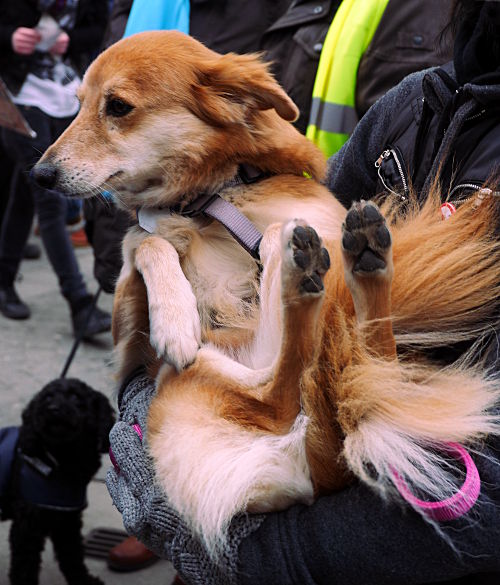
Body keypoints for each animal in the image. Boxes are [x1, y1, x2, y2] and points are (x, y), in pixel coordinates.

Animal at [0, 378, 114, 584]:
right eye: (47, 397)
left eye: (76, 396)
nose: (52, 409)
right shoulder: (27, 525)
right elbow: (24, 565)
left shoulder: (67, 519)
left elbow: (72, 554)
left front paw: (83, 580)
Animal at [34, 30, 500, 552]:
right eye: (78, 104)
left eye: (117, 106)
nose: (39, 175)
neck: (209, 199)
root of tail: (321, 468)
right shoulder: (129, 326)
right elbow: (149, 242)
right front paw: (175, 319)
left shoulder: (317, 226)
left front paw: (178, 317)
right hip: (189, 375)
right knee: (300, 382)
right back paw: (335, 267)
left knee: (334, 368)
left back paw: (329, 263)